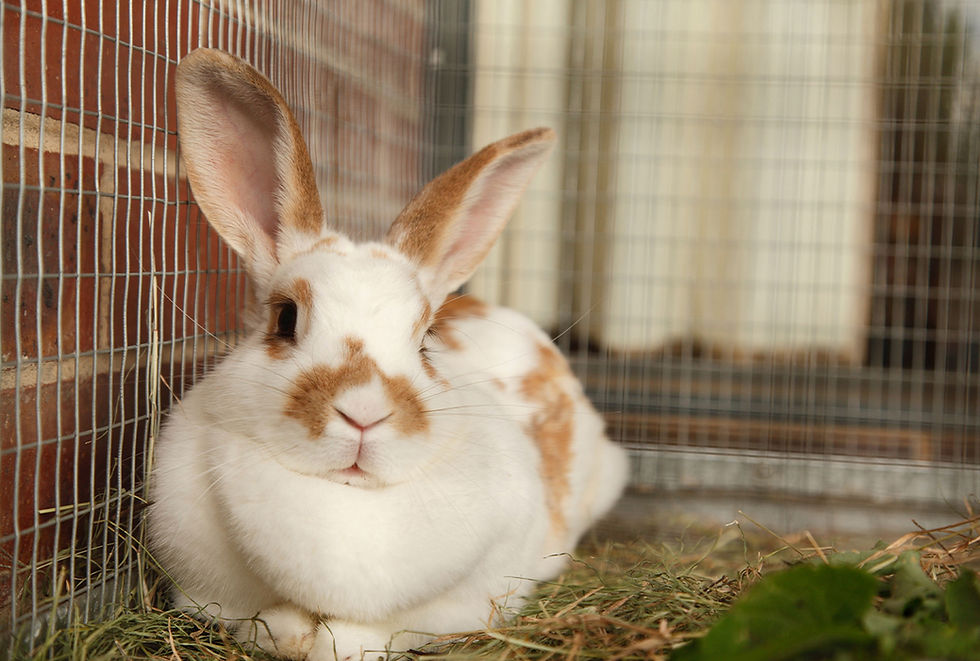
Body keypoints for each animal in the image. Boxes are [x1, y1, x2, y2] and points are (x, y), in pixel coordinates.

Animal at [147, 48, 629, 661]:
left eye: (425, 339)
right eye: (286, 319)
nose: (363, 412)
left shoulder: (468, 598)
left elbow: (374, 632)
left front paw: (334, 641)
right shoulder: (203, 585)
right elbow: (263, 622)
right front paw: (291, 632)